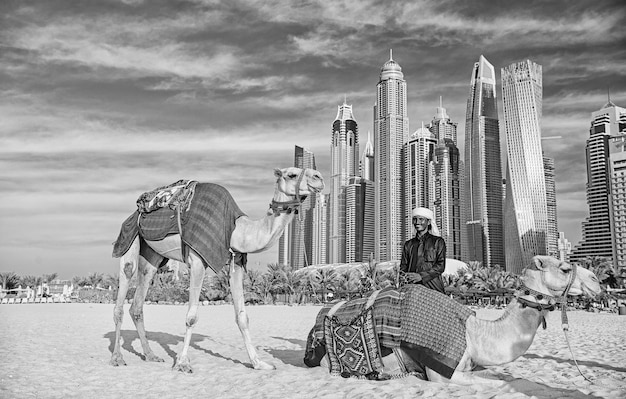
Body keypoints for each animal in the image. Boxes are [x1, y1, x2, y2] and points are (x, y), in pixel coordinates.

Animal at [109, 167, 322, 374]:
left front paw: (259, 363)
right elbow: (191, 317)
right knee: (126, 278)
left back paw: (151, 355)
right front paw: (183, 363)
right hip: (130, 235)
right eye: (292, 174)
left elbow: (242, 317)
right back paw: (117, 358)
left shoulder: (236, 263)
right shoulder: (197, 260)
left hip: (153, 255)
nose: (319, 177)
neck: (237, 231)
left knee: (138, 301)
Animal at [302, 256, 600, 388]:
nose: (597, 281)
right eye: (564, 268)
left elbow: (501, 377)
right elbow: (494, 384)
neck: (475, 335)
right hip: (329, 361)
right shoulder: (442, 371)